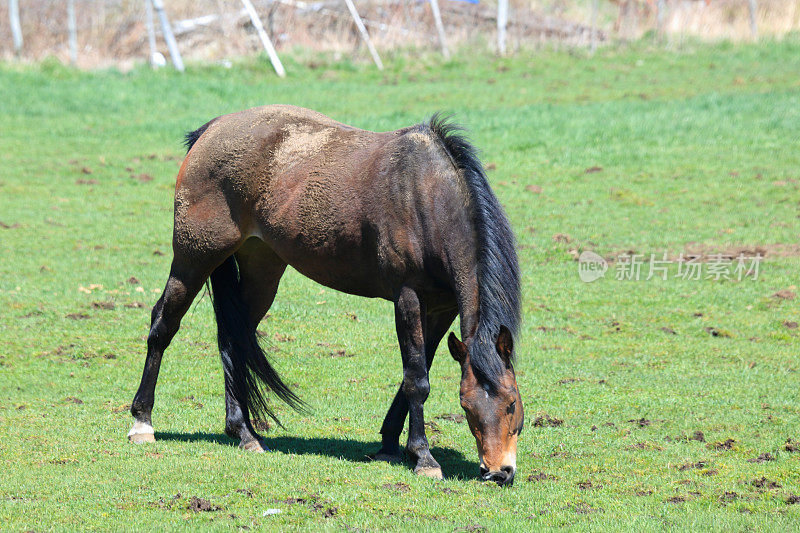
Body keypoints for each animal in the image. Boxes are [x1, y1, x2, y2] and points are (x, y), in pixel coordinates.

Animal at [127, 105, 520, 486]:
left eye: (512, 403)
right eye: (466, 406)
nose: (499, 471)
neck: (429, 198)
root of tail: (210, 130)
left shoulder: (442, 308)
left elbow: (418, 369)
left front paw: (390, 444)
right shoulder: (408, 297)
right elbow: (416, 379)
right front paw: (423, 457)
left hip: (261, 267)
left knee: (232, 338)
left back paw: (244, 433)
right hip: (194, 258)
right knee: (162, 326)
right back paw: (142, 422)